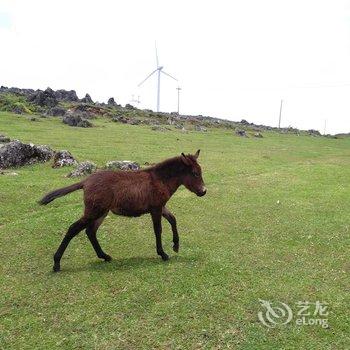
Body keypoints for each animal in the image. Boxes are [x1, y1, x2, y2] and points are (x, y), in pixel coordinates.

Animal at [39, 149, 206, 272]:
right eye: (195, 173)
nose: (204, 191)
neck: (159, 179)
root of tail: (86, 181)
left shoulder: (161, 207)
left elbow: (173, 219)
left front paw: (175, 246)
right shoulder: (156, 209)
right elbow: (158, 230)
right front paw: (163, 254)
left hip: (101, 212)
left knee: (90, 232)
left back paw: (104, 256)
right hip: (94, 211)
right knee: (73, 229)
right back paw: (56, 263)